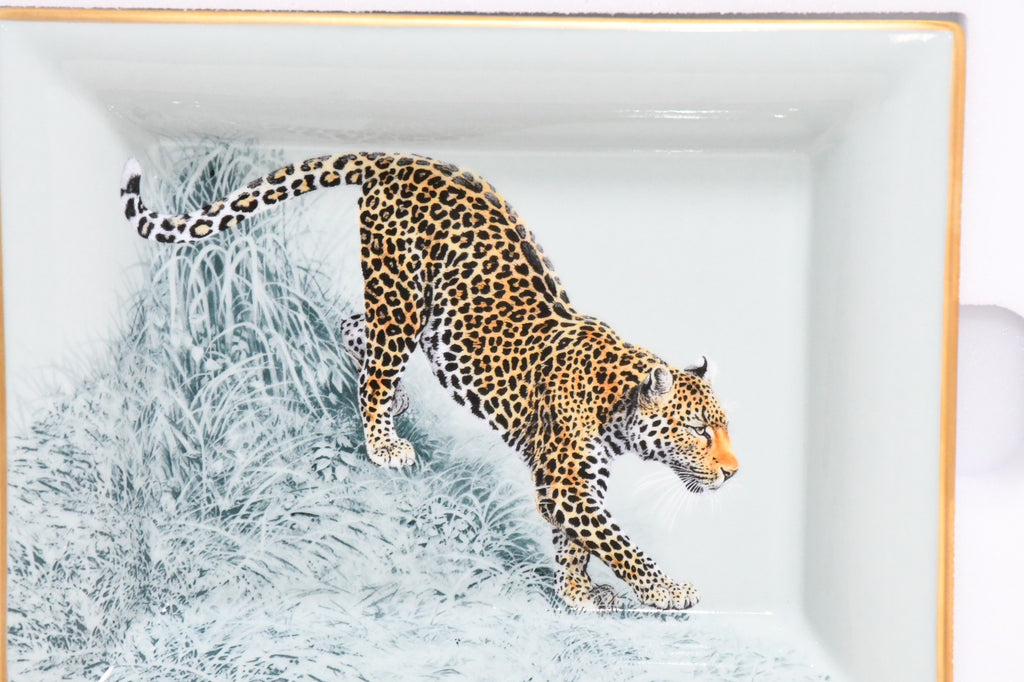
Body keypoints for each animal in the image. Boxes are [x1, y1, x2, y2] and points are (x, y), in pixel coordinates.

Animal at [121, 151, 739, 612]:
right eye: (699, 431)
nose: (734, 473)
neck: (617, 406)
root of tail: (397, 158)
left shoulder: (572, 482)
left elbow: (575, 543)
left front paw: (578, 594)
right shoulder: (566, 482)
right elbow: (617, 542)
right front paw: (667, 590)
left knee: (353, 329)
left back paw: (393, 402)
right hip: (400, 295)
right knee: (374, 364)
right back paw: (383, 442)